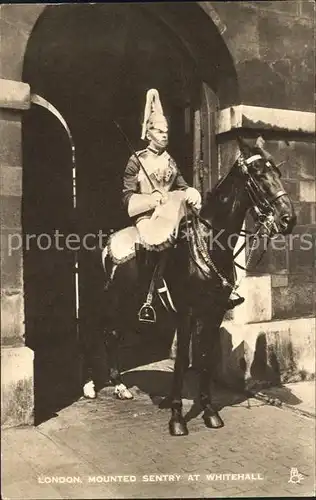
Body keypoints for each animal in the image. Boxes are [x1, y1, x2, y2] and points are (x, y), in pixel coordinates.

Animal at [96, 136, 296, 434]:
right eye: (258, 173)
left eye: (278, 173)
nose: (288, 219)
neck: (209, 245)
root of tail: (109, 243)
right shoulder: (187, 314)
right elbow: (181, 362)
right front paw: (177, 417)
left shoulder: (213, 313)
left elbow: (203, 359)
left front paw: (209, 411)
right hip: (117, 300)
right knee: (110, 335)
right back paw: (116, 386)